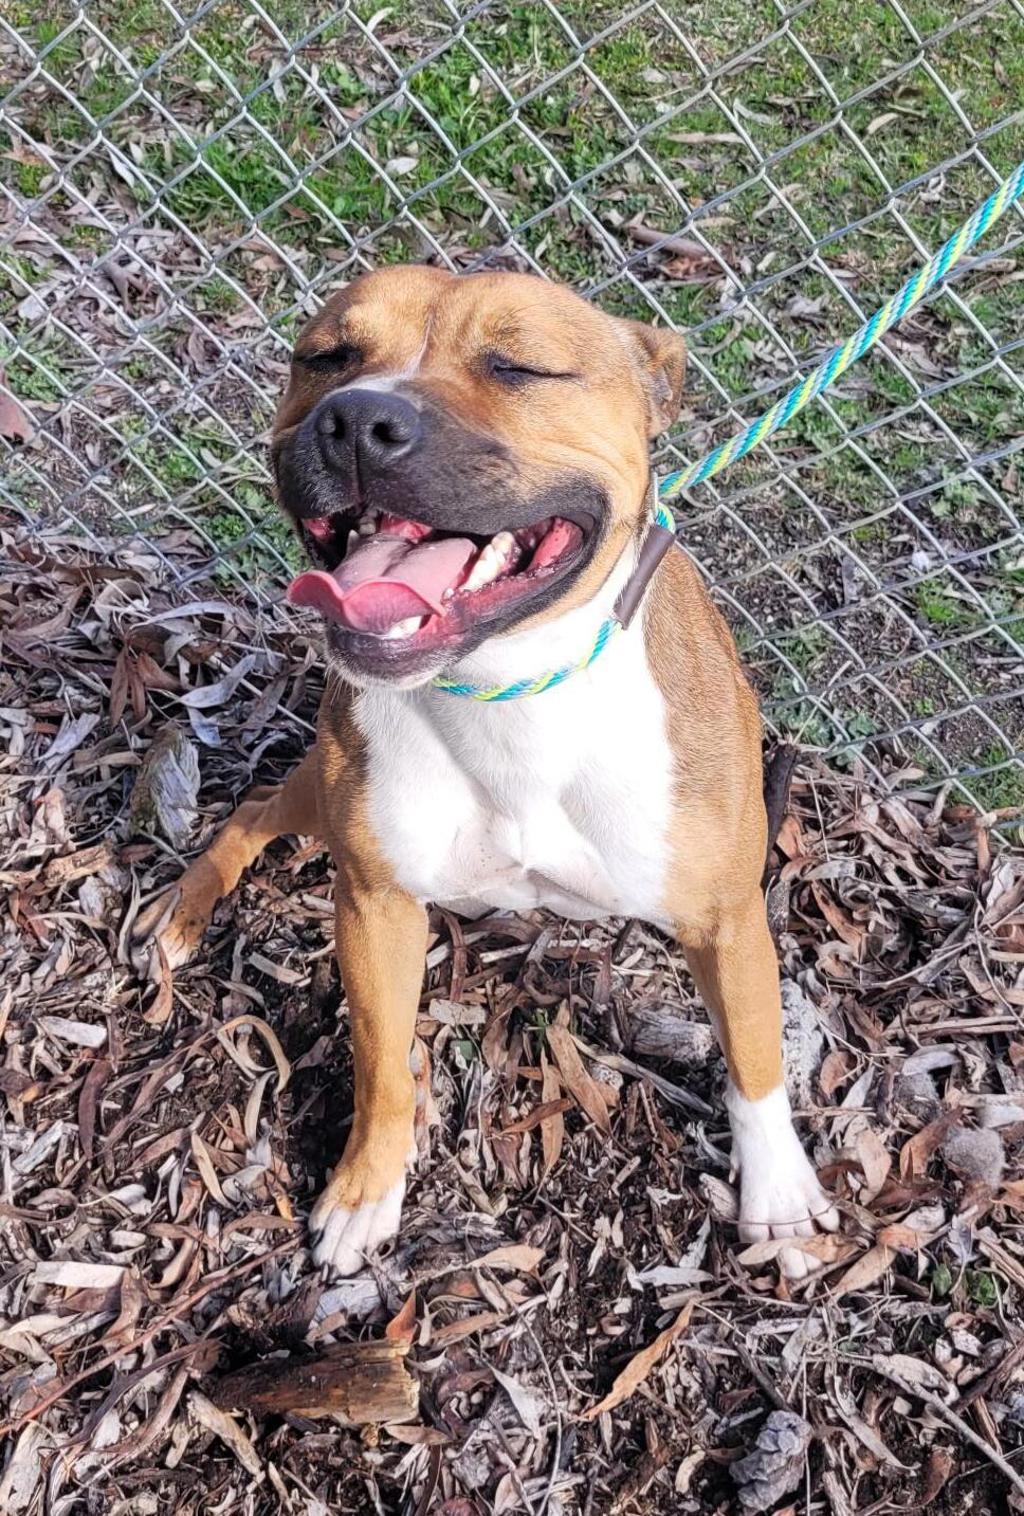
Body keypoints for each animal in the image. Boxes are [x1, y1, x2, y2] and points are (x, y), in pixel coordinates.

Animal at [134, 264, 839, 1280]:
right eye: (328, 357)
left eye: (520, 366)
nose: (357, 419)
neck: (507, 690)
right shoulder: (376, 903)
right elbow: (383, 1061)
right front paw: (367, 1189)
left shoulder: (728, 917)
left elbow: (753, 1056)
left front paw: (778, 1194)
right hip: (318, 795)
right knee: (254, 809)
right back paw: (183, 916)